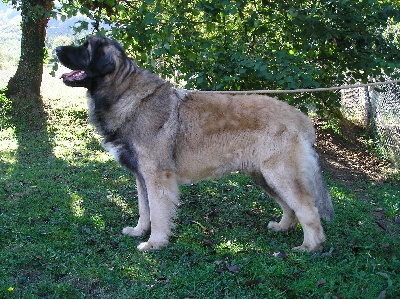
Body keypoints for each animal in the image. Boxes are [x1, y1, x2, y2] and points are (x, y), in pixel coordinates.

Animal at [54, 35, 332, 252]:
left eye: (85, 48)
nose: (56, 50)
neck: (124, 93)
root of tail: (300, 118)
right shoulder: (141, 176)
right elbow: (144, 209)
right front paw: (138, 231)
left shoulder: (157, 176)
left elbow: (158, 212)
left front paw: (155, 242)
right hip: (263, 176)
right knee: (290, 207)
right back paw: (283, 227)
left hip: (280, 175)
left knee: (307, 209)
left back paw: (310, 246)